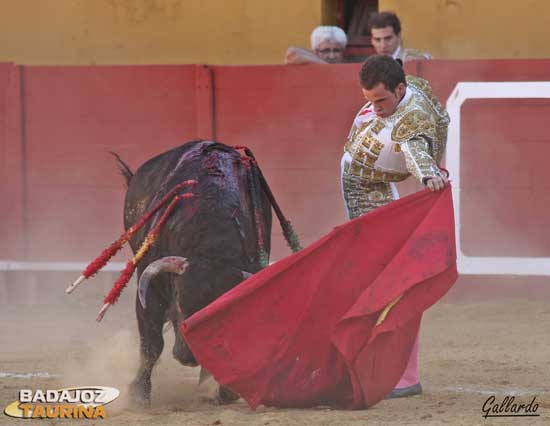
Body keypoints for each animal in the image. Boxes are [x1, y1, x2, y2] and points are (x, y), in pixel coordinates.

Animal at [114, 141, 282, 406]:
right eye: (179, 302)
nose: (188, 357)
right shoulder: (149, 288)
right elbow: (151, 344)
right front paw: (138, 394)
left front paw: (226, 391)